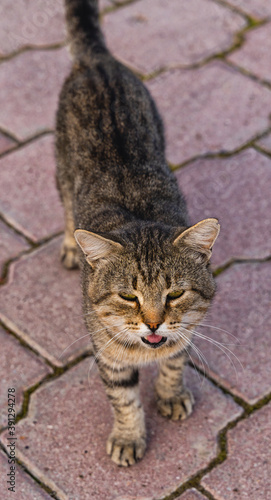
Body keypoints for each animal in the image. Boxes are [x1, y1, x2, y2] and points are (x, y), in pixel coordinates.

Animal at [56, 0, 220, 468]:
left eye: (175, 294)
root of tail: (99, 60)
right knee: (67, 208)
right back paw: (70, 244)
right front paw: (129, 438)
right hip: (61, 171)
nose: (152, 321)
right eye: (128, 296)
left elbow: (174, 364)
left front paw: (171, 394)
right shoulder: (108, 357)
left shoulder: (186, 331)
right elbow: (124, 400)